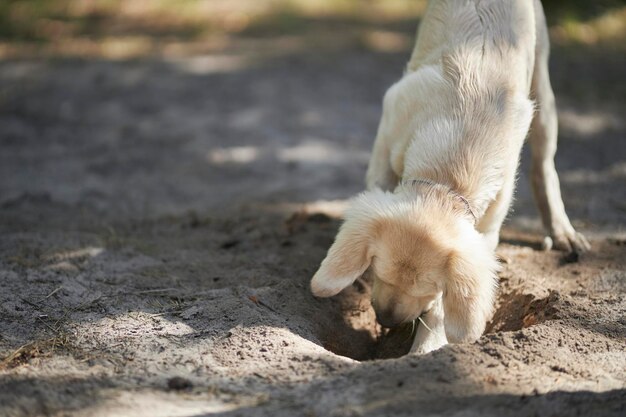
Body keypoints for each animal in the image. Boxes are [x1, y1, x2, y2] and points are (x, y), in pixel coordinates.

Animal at [310, 0, 588, 352]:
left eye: (431, 288)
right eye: (378, 269)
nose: (386, 321)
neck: (446, 178)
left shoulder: (489, 222)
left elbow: (444, 308)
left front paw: (427, 344)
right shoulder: (388, 128)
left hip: (543, 92)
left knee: (543, 164)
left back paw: (563, 231)